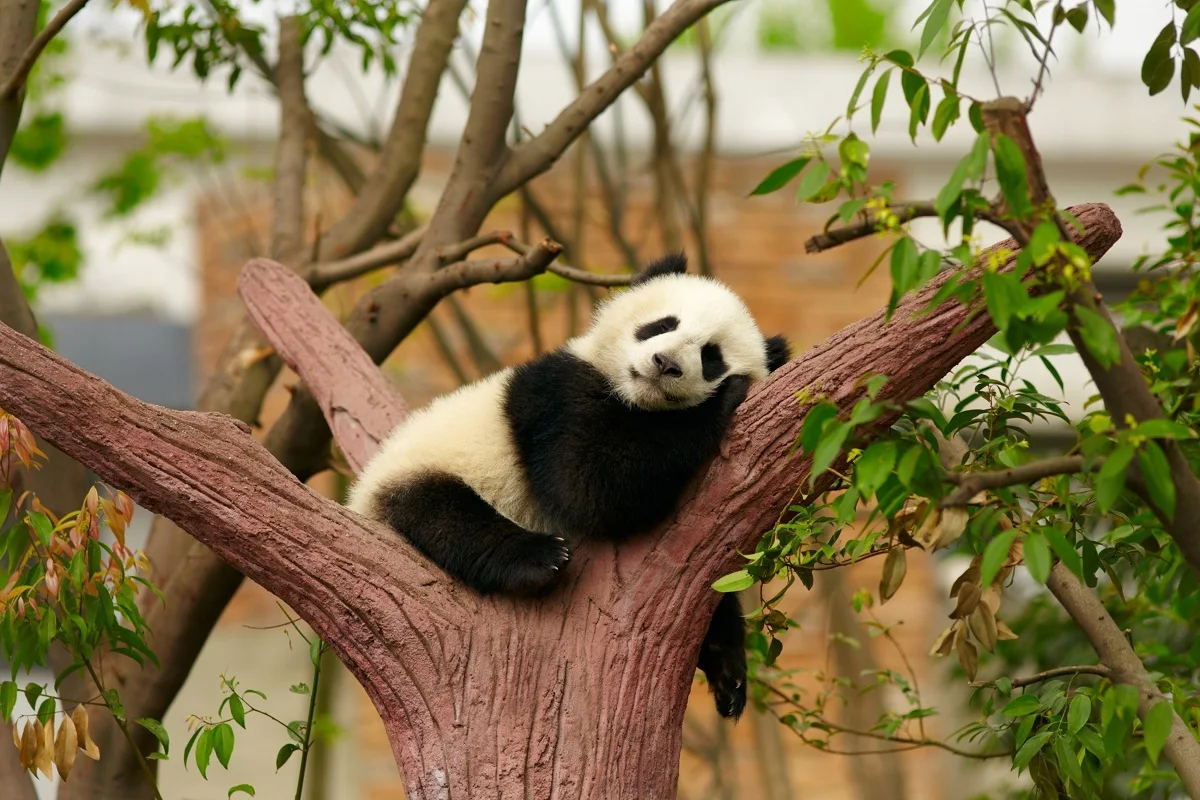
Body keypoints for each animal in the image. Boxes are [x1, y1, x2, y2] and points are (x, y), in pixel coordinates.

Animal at [347, 253, 791, 719]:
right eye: (662, 325)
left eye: (711, 356)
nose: (665, 363)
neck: (636, 400)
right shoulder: (556, 396)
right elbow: (588, 486)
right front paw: (723, 399)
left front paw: (728, 667)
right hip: (421, 470)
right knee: (444, 514)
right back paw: (537, 557)